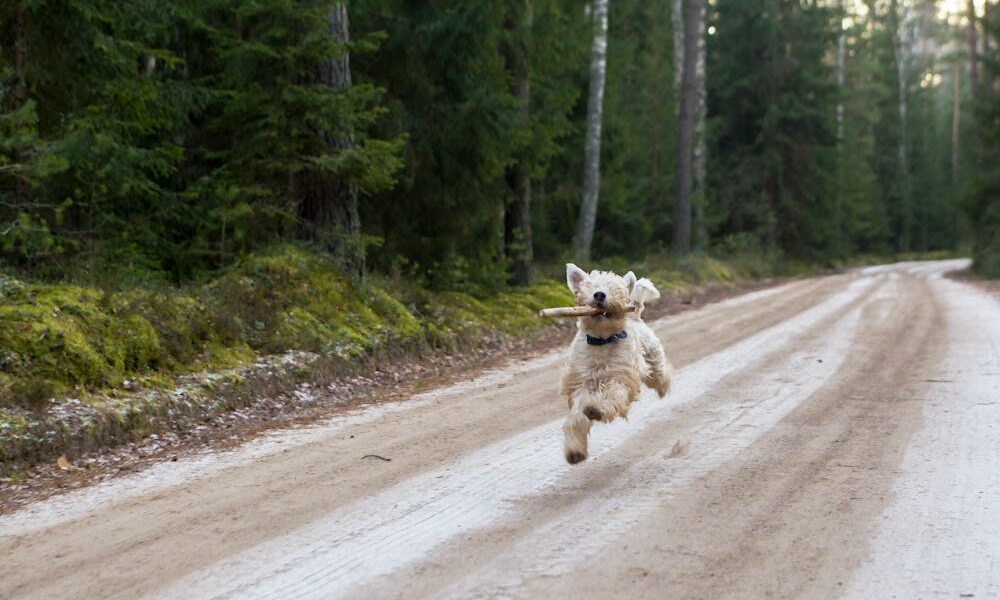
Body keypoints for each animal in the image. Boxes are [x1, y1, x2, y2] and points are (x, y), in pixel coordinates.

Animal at [564, 262, 672, 464]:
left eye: (615, 287)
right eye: (590, 285)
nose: (599, 294)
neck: (602, 340)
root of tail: (635, 317)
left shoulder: (620, 377)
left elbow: (612, 395)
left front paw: (596, 409)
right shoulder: (582, 384)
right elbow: (576, 417)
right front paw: (574, 451)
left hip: (653, 361)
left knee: (662, 374)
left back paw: (663, 388)